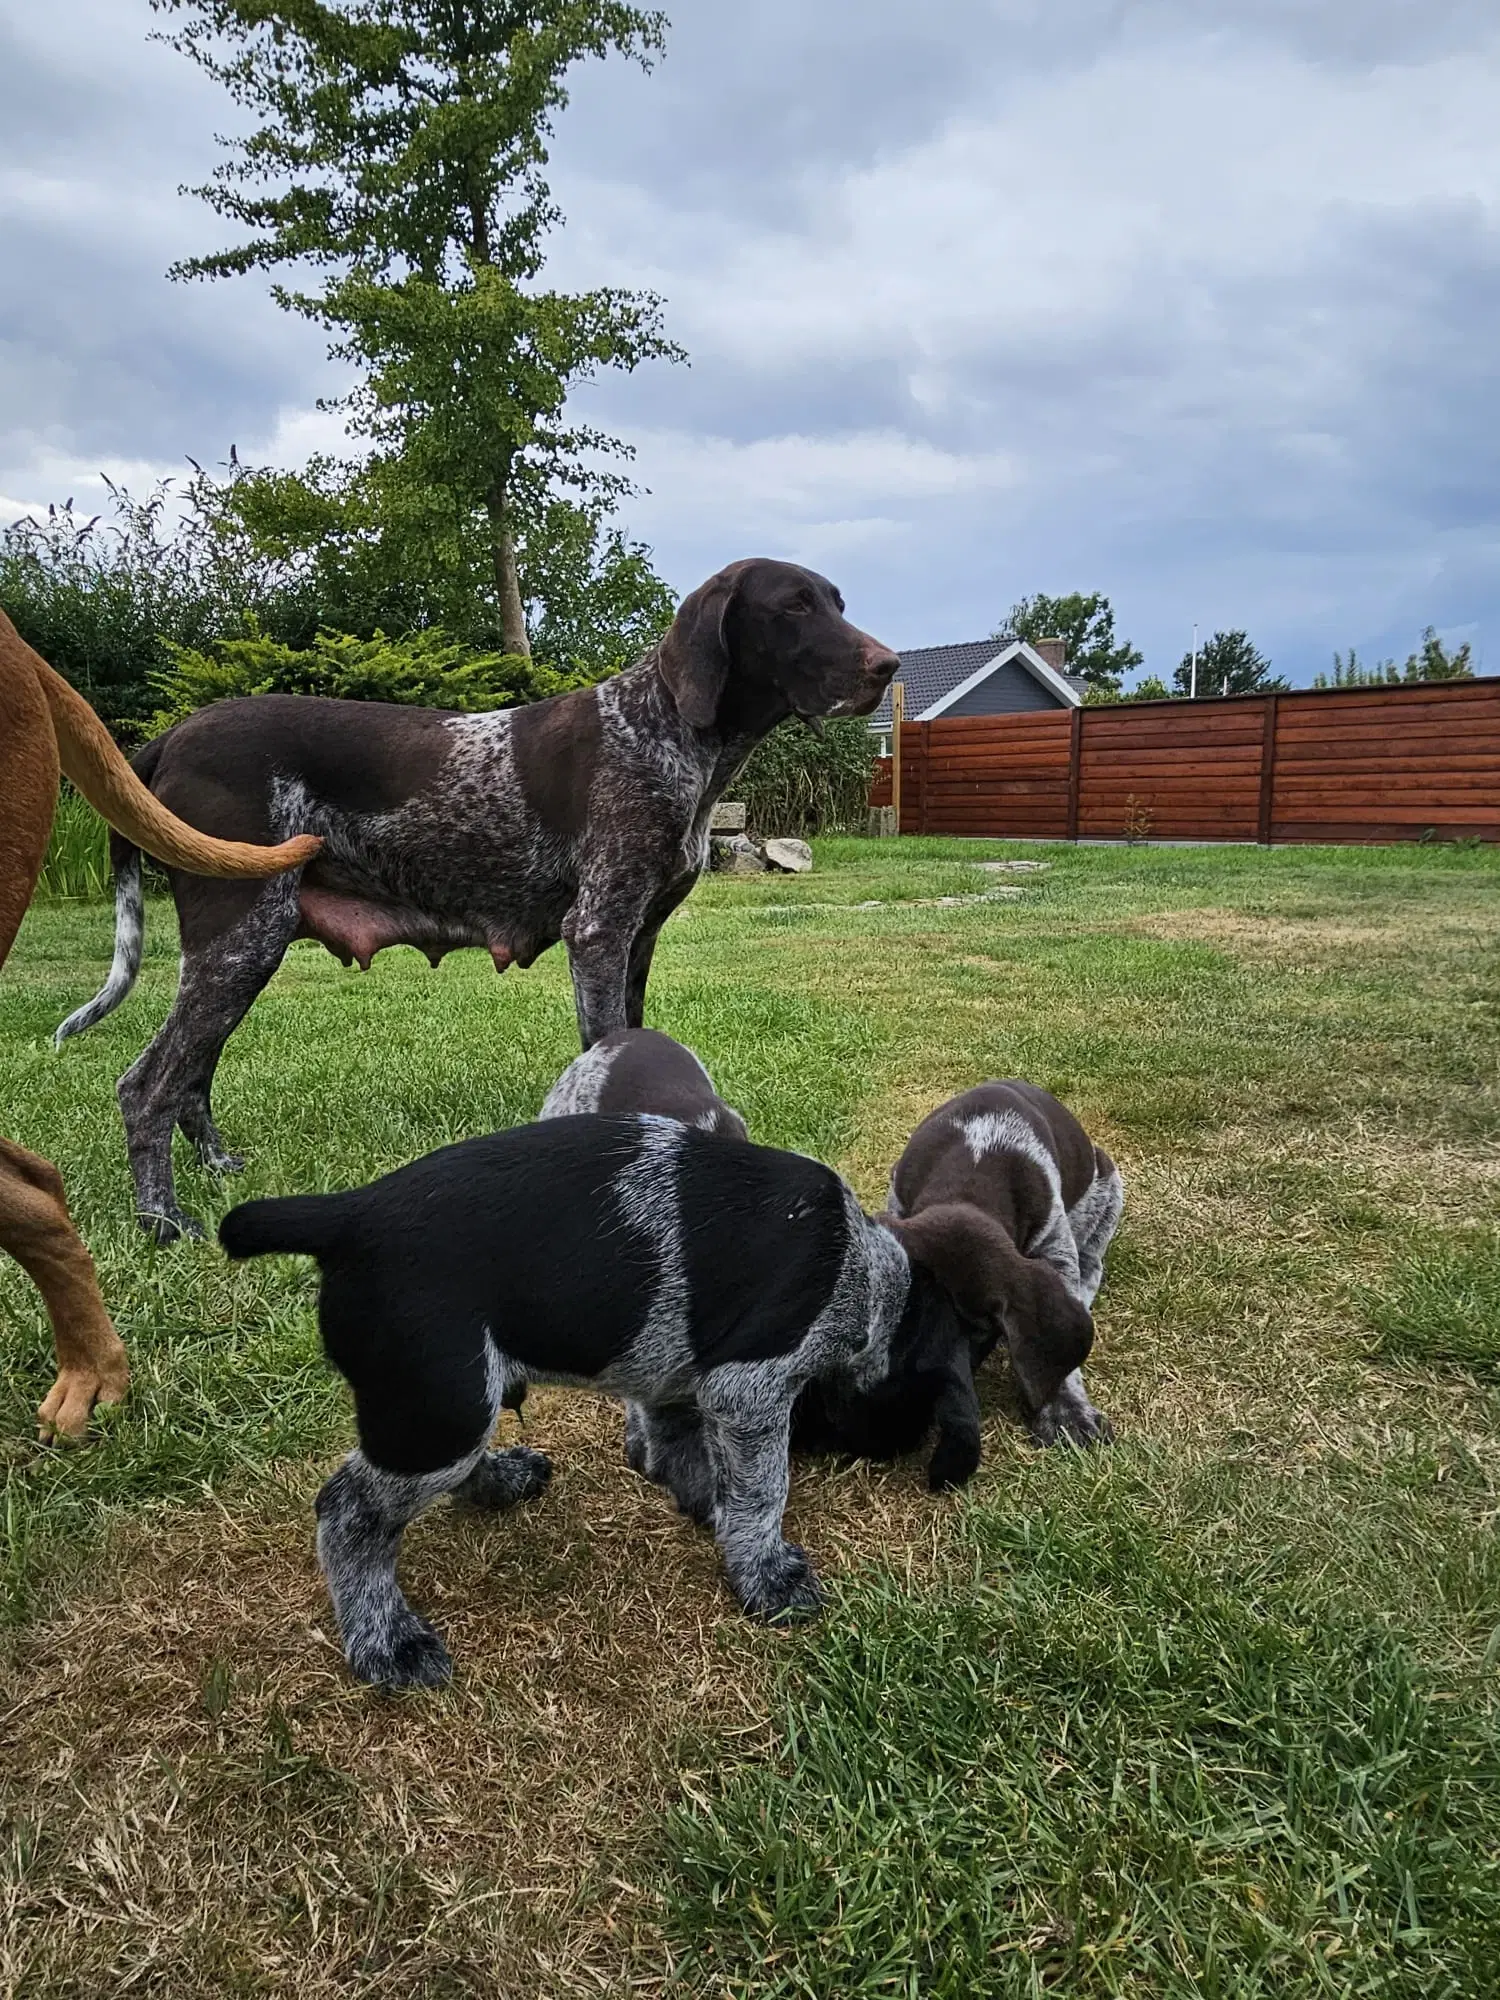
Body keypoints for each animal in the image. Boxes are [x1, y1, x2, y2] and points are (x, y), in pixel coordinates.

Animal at [58, 564, 900, 1240]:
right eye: (794, 606)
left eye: (836, 601)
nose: (890, 666)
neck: (664, 732)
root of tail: (169, 739)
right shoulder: (599, 930)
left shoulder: (640, 937)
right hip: (238, 939)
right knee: (148, 1086)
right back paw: (161, 1220)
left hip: (240, 951)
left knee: (190, 1078)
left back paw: (216, 1166)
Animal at [222, 1112, 956, 1688]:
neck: (869, 1270)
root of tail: (348, 1216)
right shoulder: (751, 1387)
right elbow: (761, 1491)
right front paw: (765, 1574)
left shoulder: (677, 1374)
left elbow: (679, 1442)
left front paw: (700, 1500)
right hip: (438, 1410)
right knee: (348, 1512)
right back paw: (385, 1642)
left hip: (452, 1401)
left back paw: (498, 1480)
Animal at [800, 1088, 1128, 1496]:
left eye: (981, 1333)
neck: (973, 1173)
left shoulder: (1055, 1245)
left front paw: (1066, 1409)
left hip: (1108, 1185)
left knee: (1091, 1263)